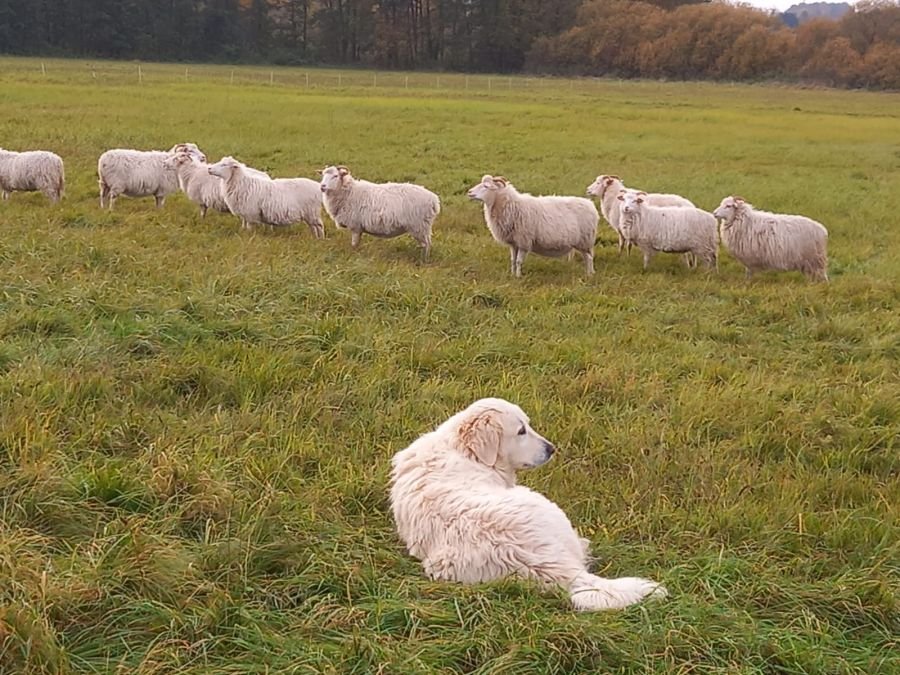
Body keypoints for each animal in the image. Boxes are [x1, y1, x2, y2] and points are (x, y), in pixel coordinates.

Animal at [468, 177, 600, 280]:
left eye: (486, 186)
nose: (469, 192)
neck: (511, 205)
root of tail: (590, 205)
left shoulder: (523, 241)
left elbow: (518, 261)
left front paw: (518, 277)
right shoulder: (514, 242)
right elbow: (513, 260)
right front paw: (512, 274)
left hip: (584, 240)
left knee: (589, 258)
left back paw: (589, 275)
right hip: (584, 242)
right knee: (588, 257)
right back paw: (590, 272)